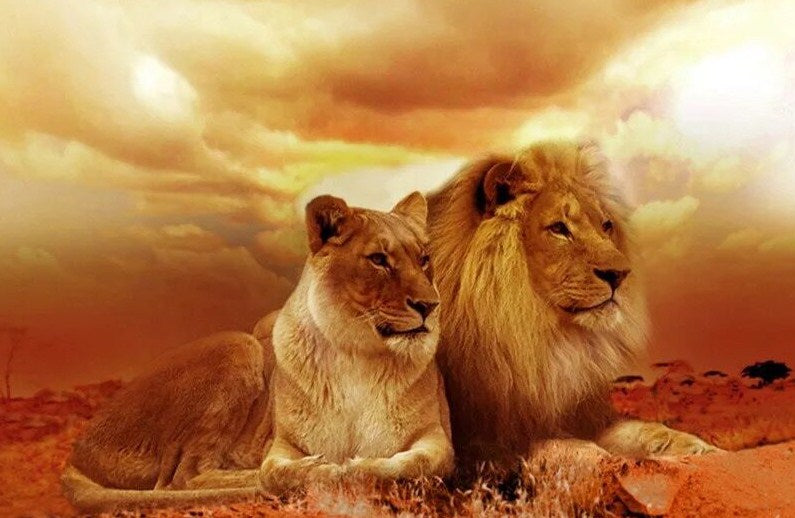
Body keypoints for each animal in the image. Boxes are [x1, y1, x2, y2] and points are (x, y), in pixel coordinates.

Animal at [259, 192, 454, 493]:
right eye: (378, 259)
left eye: (423, 259)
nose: (430, 305)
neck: (356, 352)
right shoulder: (282, 442)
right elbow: (273, 473)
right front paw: (322, 469)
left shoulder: (436, 434)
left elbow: (413, 463)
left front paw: (356, 467)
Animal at [426, 140, 717, 467]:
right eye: (559, 229)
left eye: (606, 226)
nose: (620, 274)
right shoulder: (480, 445)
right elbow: (559, 444)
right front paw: (598, 460)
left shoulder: (585, 416)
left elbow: (643, 429)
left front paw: (698, 448)